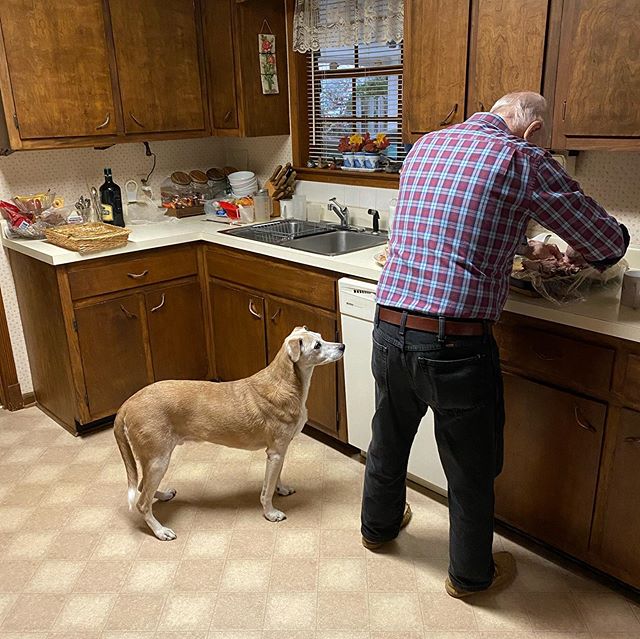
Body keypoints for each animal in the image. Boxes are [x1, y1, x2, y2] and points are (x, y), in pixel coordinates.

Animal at [114, 328, 344, 544]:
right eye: (317, 345)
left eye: (321, 336)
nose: (342, 346)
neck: (287, 381)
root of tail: (127, 404)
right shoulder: (276, 452)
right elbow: (267, 490)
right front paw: (270, 513)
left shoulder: (280, 451)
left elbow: (276, 478)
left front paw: (282, 489)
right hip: (158, 459)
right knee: (142, 502)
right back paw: (160, 531)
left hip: (152, 460)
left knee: (142, 487)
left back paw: (163, 496)